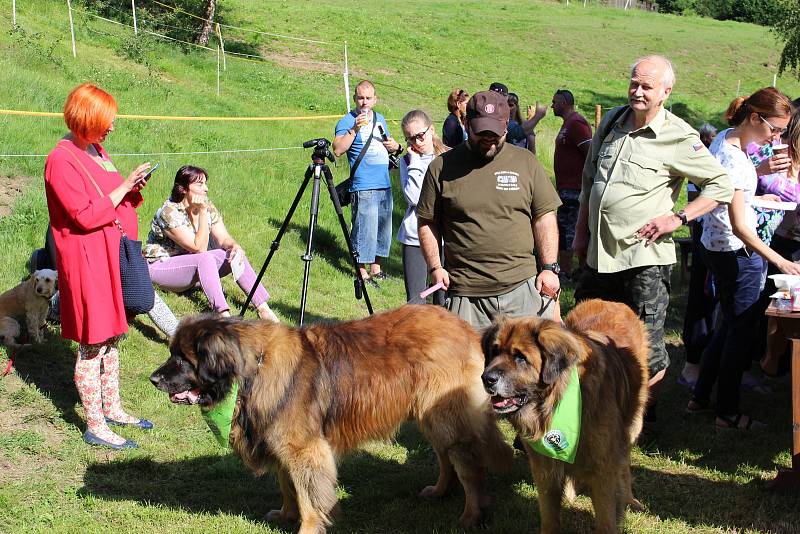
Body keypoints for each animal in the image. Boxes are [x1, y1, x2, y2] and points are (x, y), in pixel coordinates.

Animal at [150, 306, 512, 534]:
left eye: (183, 359)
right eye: (172, 354)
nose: (153, 379)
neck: (252, 371)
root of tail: (466, 328)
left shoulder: (305, 450)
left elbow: (310, 495)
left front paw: (308, 527)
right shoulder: (281, 443)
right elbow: (287, 485)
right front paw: (286, 514)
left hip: (447, 417)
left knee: (468, 466)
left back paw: (470, 515)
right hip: (430, 416)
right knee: (445, 457)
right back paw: (439, 491)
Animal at [482, 300, 648, 532]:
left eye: (520, 358)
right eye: (494, 351)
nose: (486, 378)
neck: (556, 401)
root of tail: (612, 302)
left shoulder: (604, 471)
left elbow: (606, 519)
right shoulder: (545, 468)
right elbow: (550, 516)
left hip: (633, 425)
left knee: (624, 464)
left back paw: (630, 499)